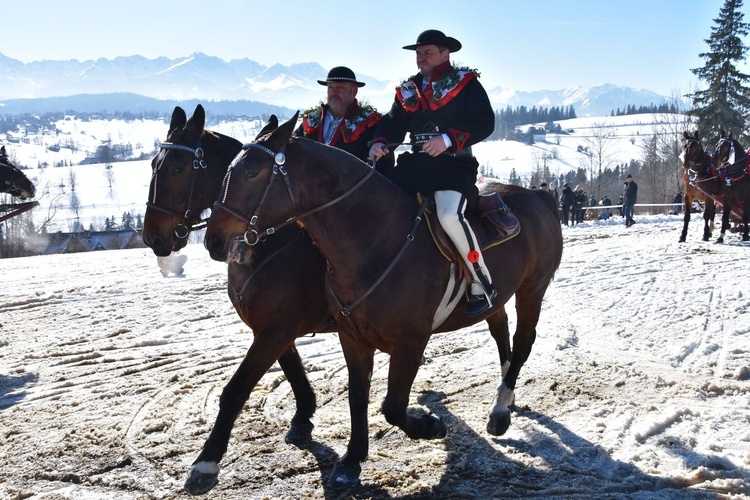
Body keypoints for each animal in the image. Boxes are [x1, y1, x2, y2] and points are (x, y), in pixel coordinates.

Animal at [143, 105, 334, 492]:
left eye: (177, 168)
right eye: (154, 164)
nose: (151, 236)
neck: (273, 242)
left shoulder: (276, 329)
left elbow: (234, 391)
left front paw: (206, 461)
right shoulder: (273, 329)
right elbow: (293, 370)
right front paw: (303, 415)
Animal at [203, 113, 560, 488]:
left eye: (252, 173)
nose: (214, 240)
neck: (374, 240)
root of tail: (537, 196)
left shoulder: (407, 342)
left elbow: (392, 406)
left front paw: (429, 426)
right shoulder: (349, 337)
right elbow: (357, 396)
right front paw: (351, 459)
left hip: (532, 289)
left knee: (523, 341)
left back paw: (501, 409)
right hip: (499, 297)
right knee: (502, 332)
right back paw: (507, 392)